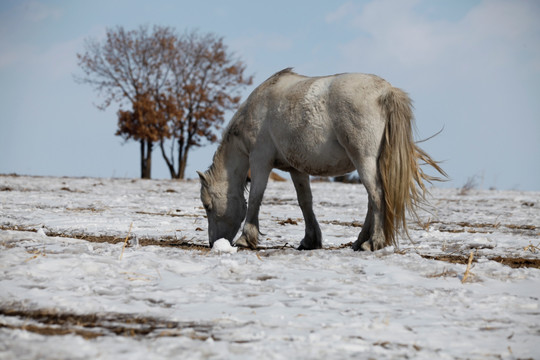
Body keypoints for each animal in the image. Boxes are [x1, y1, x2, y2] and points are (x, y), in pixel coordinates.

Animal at [196, 69, 446, 252]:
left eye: (207, 206)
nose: (213, 243)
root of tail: (386, 91)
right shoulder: (296, 169)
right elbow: (305, 202)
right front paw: (310, 240)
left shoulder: (260, 160)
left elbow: (257, 197)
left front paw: (246, 238)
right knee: (371, 200)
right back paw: (359, 241)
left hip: (364, 160)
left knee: (376, 196)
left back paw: (372, 242)